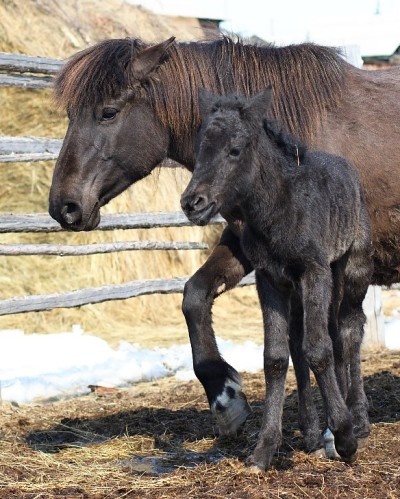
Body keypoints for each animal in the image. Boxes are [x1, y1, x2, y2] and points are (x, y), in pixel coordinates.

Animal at [49, 36, 400, 454]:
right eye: (70, 114)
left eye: (108, 112)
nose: (64, 206)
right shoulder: (252, 249)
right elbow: (197, 297)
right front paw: (228, 399)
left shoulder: (320, 268)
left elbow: (324, 340)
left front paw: (335, 428)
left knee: (349, 329)